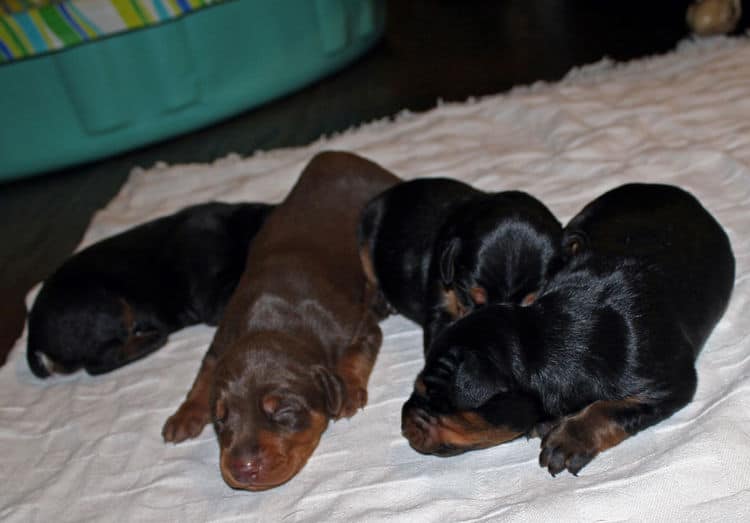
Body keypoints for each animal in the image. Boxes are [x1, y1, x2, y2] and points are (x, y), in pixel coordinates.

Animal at [162, 150, 402, 492]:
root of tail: (339, 154)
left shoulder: (358, 327)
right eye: (221, 418)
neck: (270, 323)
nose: (243, 468)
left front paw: (349, 389)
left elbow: (356, 354)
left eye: (284, 410)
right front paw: (185, 414)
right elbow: (204, 374)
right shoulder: (220, 342)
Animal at [402, 182, 736, 476]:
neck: (539, 336)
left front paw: (568, 438)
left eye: (433, 399)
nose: (404, 422)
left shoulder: (670, 384)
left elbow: (612, 409)